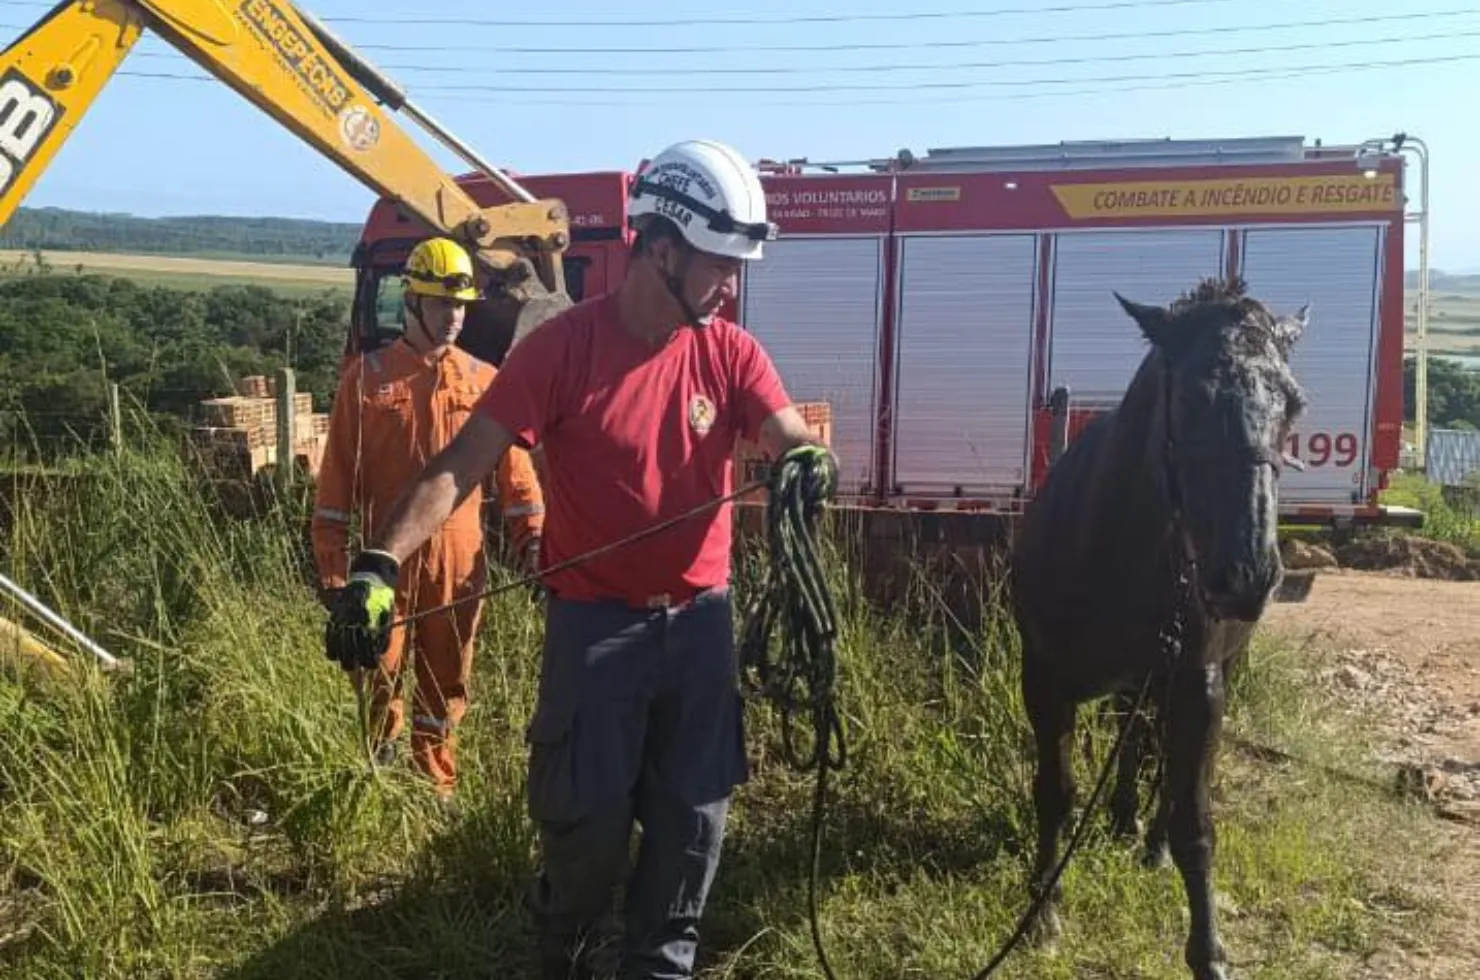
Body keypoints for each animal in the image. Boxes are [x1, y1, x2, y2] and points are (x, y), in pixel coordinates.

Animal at [1006, 278, 1308, 980]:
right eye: (1192, 398)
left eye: (1294, 403)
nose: (1247, 574)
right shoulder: (1044, 679)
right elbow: (1056, 791)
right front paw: (1044, 912)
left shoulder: (1198, 684)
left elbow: (1194, 819)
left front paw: (1208, 952)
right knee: (1133, 735)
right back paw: (1122, 823)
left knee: (1153, 755)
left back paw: (1146, 842)